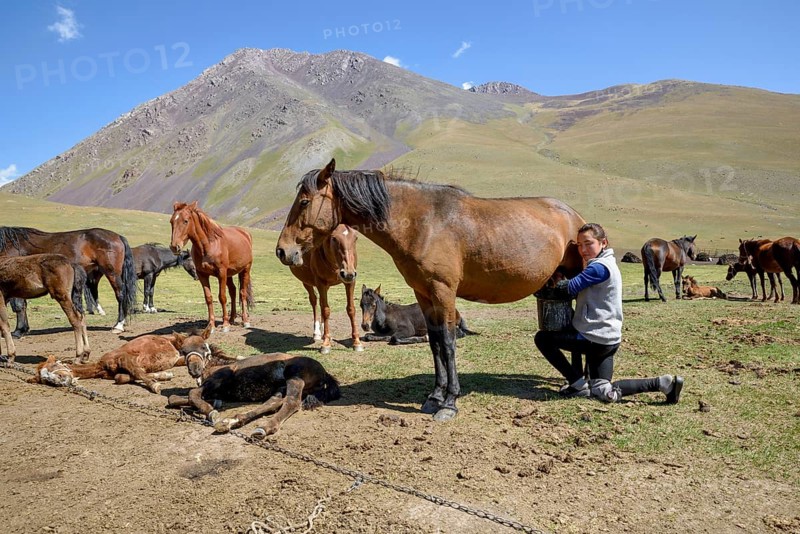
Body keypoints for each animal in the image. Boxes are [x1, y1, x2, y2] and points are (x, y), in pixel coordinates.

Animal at [0, 226, 136, 335]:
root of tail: (118, 236)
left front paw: (19, 331)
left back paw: (118, 325)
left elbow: (18, 305)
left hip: (111, 273)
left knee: (120, 295)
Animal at [29, 326, 213, 393]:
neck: (101, 366)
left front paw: (156, 385)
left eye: (55, 366)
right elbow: (123, 377)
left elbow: (137, 373)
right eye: (45, 380)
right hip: (178, 358)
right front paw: (163, 375)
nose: (61, 381)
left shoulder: (125, 358)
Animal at [167, 350, 340, 437]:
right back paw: (233, 421)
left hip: (294, 375)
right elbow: (175, 398)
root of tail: (325, 373)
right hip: (281, 387)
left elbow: (192, 394)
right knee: (274, 402)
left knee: (292, 402)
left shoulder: (216, 380)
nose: (194, 371)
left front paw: (211, 413)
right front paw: (213, 407)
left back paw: (264, 427)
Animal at [170, 202, 254, 332]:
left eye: (185, 221)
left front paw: (225, 325)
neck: (208, 245)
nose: (175, 246)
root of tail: (245, 234)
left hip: (245, 270)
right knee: (233, 291)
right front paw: (211, 325)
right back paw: (232, 318)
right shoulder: (202, 275)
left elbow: (222, 297)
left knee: (242, 293)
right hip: (229, 274)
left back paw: (245, 321)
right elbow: (208, 298)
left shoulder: (221, 273)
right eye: (171, 221)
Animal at [290, 224, 363, 354]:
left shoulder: (350, 282)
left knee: (321, 302)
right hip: (307, 282)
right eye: (333, 238)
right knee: (314, 301)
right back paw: (318, 333)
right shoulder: (320, 283)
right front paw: (326, 344)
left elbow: (351, 309)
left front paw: (357, 342)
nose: (348, 273)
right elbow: (326, 310)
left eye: (355, 238)